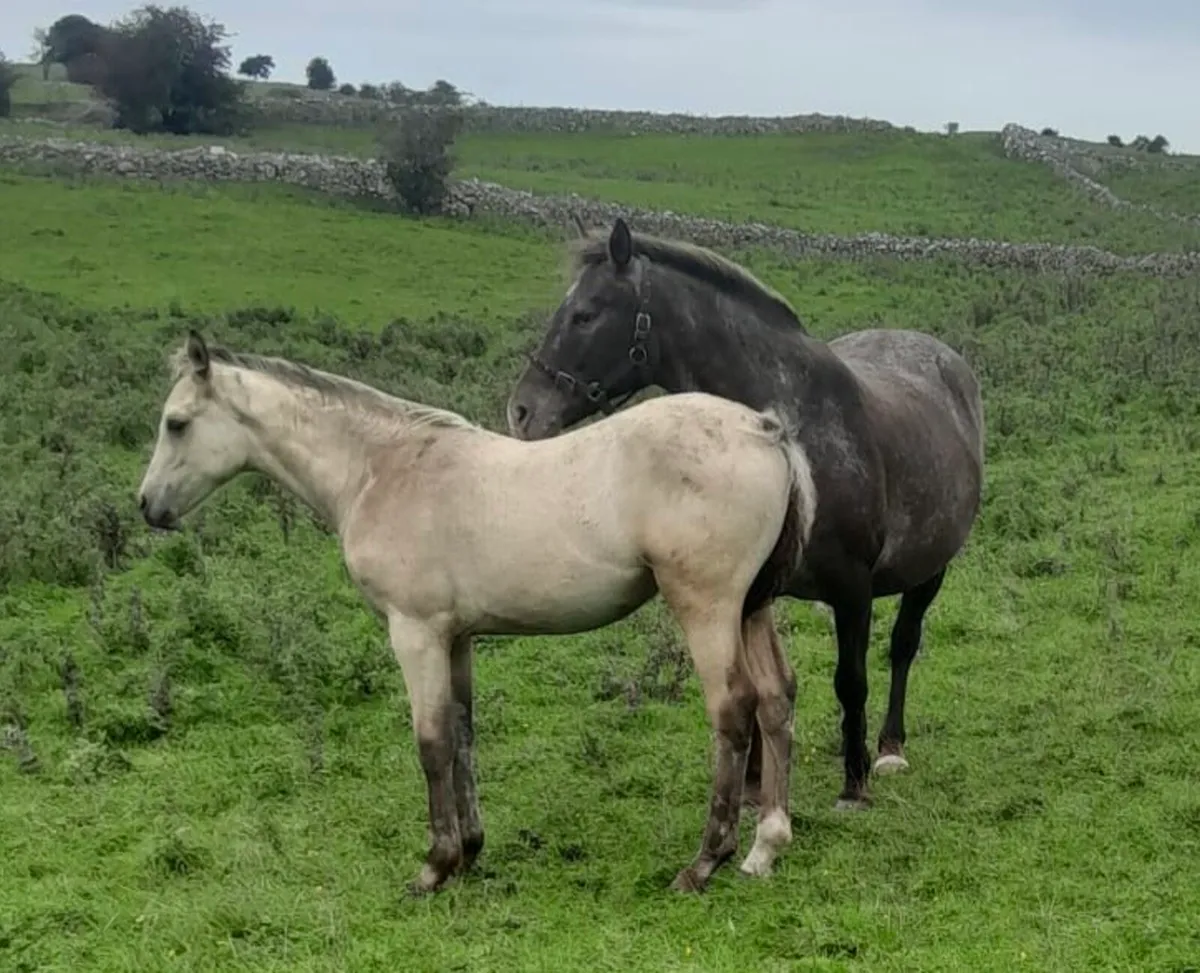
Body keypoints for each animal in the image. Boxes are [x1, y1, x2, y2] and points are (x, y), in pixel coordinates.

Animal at [136, 331, 819, 894]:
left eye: (176, 423)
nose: (148, 505)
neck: (380, 469)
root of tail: (762, 428)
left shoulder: (413, 632)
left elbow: (432, 741)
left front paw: (434, 867)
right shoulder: (456, 636)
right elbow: (462, 733)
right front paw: (469, 850)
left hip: (707, 607)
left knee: (733, 710)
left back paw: (705, 861)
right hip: (751, 607)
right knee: (776, 697)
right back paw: (766, 846)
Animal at [506, 217, 985, 812]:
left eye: (586, 314)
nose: (522, 411)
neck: (787, 433)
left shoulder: (851, 589)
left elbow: (851, 680)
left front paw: (854, 784)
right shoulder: (744, 590)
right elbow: (754, 690)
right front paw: (755, 785)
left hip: (930, 569)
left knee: (902, 646)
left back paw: (888, 749)